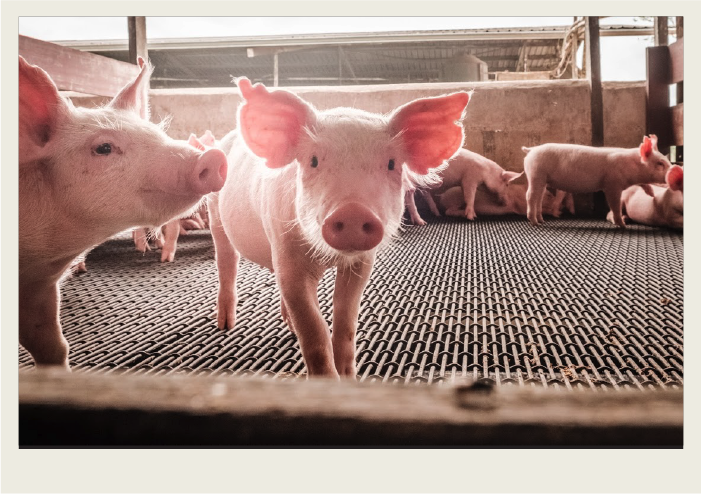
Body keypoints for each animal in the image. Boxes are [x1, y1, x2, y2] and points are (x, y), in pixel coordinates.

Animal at [209, 78, 470, 378]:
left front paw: (348, 376)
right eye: (313, 160)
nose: (353, 211)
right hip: (215, 212)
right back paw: (225, 325)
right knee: (226, 261)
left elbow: (345, 319)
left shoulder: (361, 263)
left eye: (391, 164)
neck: (330, 258)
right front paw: (328, 380)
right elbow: (313, 329)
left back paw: (287, 326)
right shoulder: (287, 252)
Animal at [523, 136, 671, 227]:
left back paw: (541, 220)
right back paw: (535, 223)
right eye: (660, 163)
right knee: (530, 195)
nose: (674, 171)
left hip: (542, 179)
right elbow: (615, 204)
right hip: (536, 174)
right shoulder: (612, 184)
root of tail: (532, 149)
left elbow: (644, 184)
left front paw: (652, 194)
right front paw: (623, 225)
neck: (632, 166)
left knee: (539, 198)